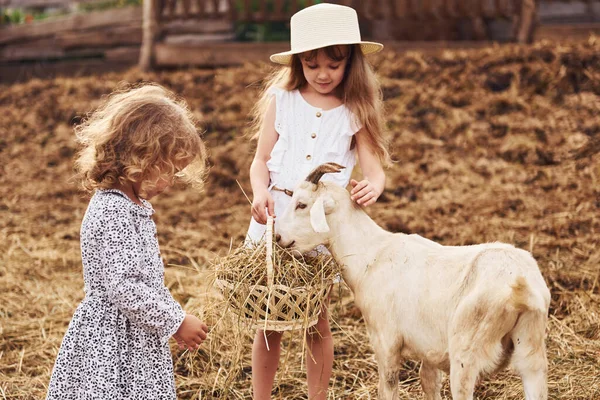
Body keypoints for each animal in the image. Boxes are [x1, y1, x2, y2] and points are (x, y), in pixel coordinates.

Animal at [276, 163, 548, 400]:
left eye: (301, 204)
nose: (278, 237)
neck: (372, 254)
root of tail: (521, 287)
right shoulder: (430, 350)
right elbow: (429, 383)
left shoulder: (385, 341)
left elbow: (387, 388)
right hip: (531, 351)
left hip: (466, 353)